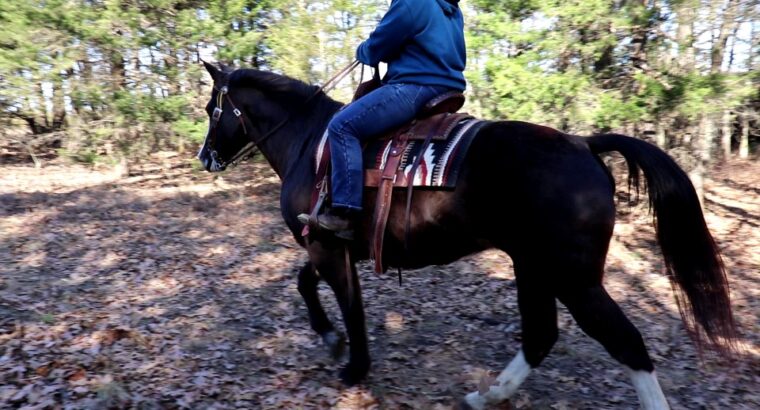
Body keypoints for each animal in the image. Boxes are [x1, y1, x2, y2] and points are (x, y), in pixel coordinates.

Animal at [197, 62, 736, 408]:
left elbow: (346, 303)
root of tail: (584, 143)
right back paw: (487, 394)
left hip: (573, 278)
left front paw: (352, 363)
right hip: (533, 267)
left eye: (210, 108)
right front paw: (331, 340)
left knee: (625, 342)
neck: (311, 142)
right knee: (541, 334)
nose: (206, 157)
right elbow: (306, 283)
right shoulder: (327, 245)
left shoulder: (327, 245)